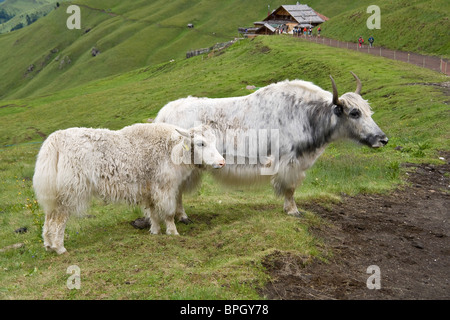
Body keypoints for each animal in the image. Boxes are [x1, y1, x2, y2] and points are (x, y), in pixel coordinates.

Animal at [32, 123, 225, 255]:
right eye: (200, 143)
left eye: (214, 141)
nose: (221, 162)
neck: (172, 150)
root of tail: (55, 141)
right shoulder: (165, 187)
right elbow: (168, 212)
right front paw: (173, 233)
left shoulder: (148, 188)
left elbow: (152, 211)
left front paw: (155, 232)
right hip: (70, 191)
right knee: (59, 218)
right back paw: (59, 247)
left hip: (55, 194)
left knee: (49, 217)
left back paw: (48, 245)